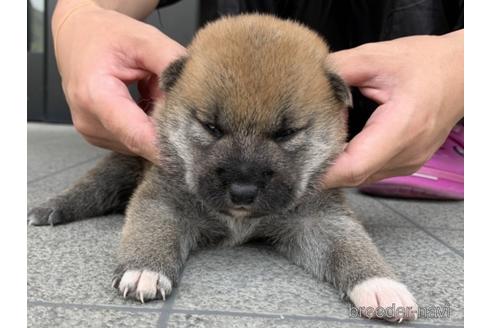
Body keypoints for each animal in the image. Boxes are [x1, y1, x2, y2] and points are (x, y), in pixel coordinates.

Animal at [28, 14, 418, 320]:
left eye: (287, 133)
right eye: (211, 127)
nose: (243, 191)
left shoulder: (320, 216)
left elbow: (350, 245)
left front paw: (380, 285)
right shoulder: (163, 196)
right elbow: (151, 228)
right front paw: (144, 269)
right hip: (119, 167)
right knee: (89, 189)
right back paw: (51, 209)